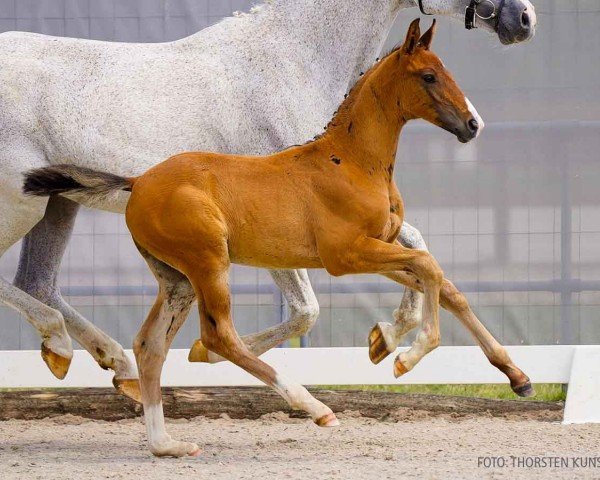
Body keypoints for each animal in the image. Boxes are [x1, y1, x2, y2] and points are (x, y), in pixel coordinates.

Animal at [23, 20, 532, 458]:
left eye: (446, 70)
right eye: (428, 75)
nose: (472, 125)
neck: (351, 161)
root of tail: (138, 181)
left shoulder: (376, 248)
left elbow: (443, 283)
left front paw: (516, 376)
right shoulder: (346, 256)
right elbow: (429, 269)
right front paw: (406, 356)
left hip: (177, 279)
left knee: (150, 345)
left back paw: (166, 444)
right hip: (209, 264)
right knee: (219, 337)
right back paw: (315, 408)